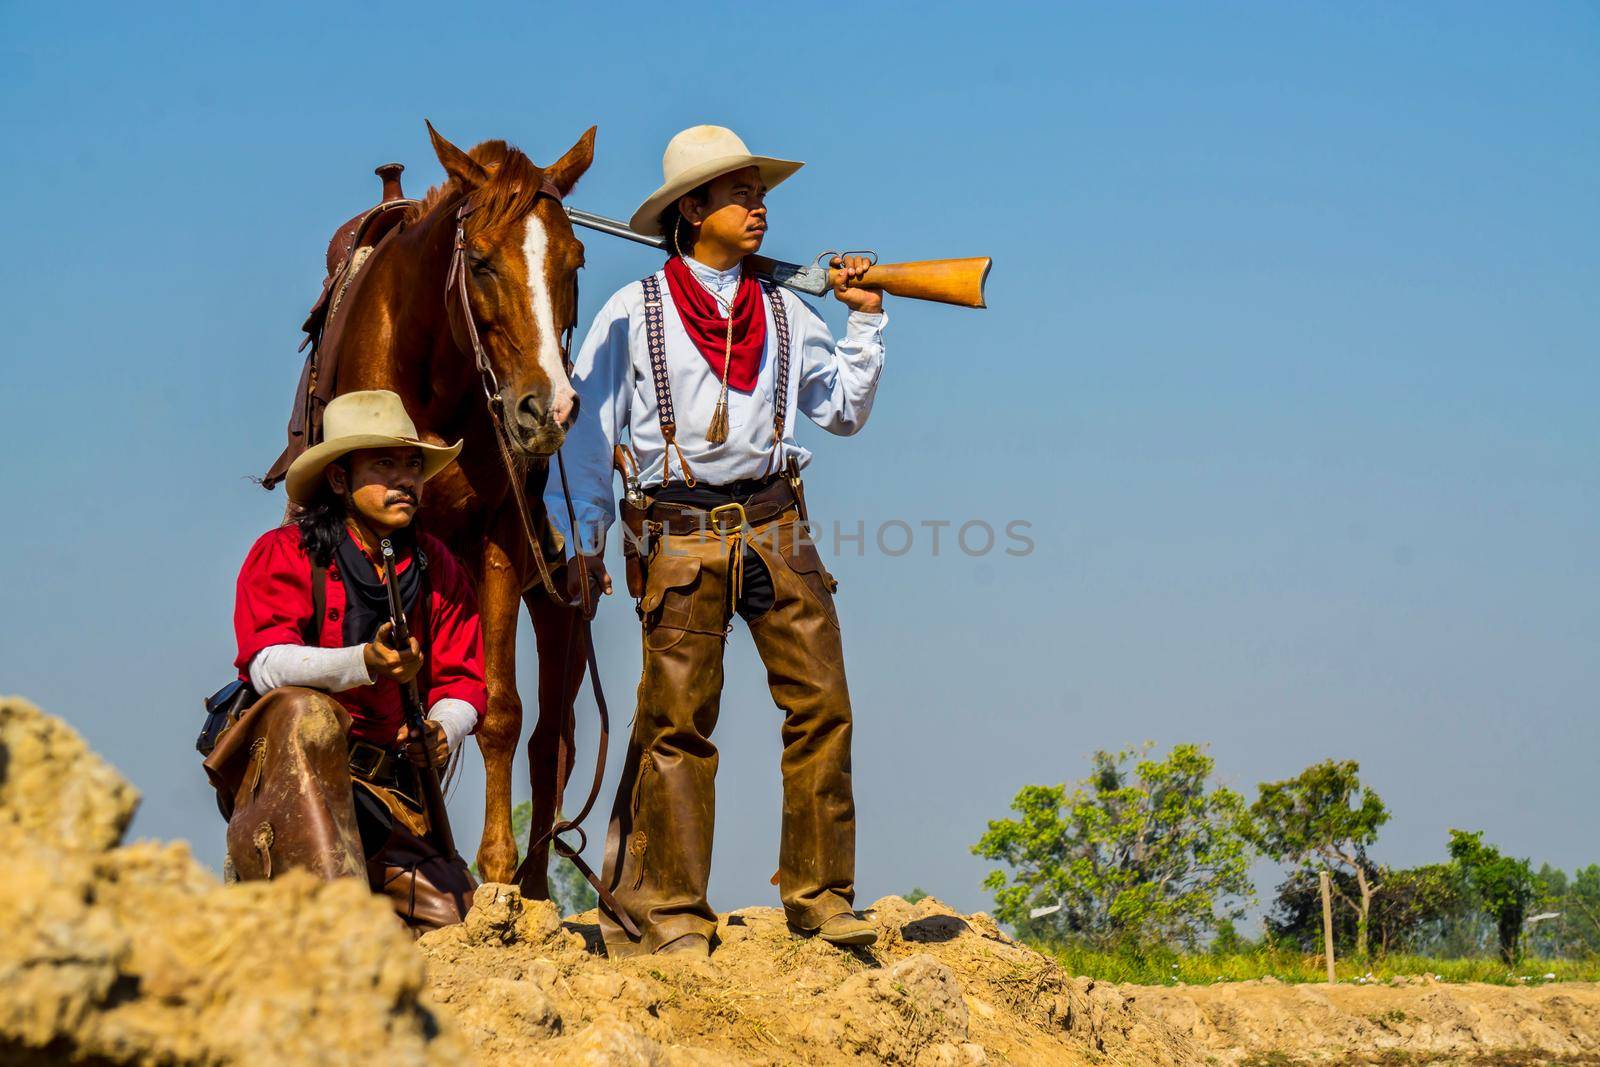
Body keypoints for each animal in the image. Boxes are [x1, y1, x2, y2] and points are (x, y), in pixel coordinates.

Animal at [321, 123, 598, 895]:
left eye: (575, 261)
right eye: (479, 262)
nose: (547, 410)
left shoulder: (496, 539)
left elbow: (501, 710)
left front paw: (496, 877)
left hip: (561, 608)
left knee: (554, 739)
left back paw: (532, 885)